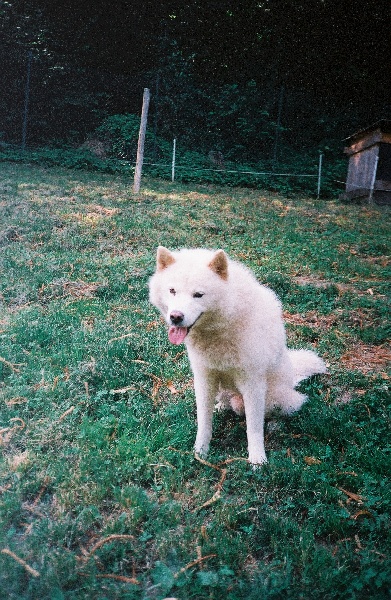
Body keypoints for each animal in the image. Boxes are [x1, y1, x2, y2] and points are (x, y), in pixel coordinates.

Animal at [149, 246, 326, 462]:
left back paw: (275, 424)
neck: (220, 329)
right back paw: (221, 407)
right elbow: (204, 423)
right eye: (172, 291)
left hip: (274, 398)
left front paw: (258, 460)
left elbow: (254, 428)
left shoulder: (253, 385)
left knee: (284, 409)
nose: (175, 317)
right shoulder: (204, 378)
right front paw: (200, 452)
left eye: (198, 294)